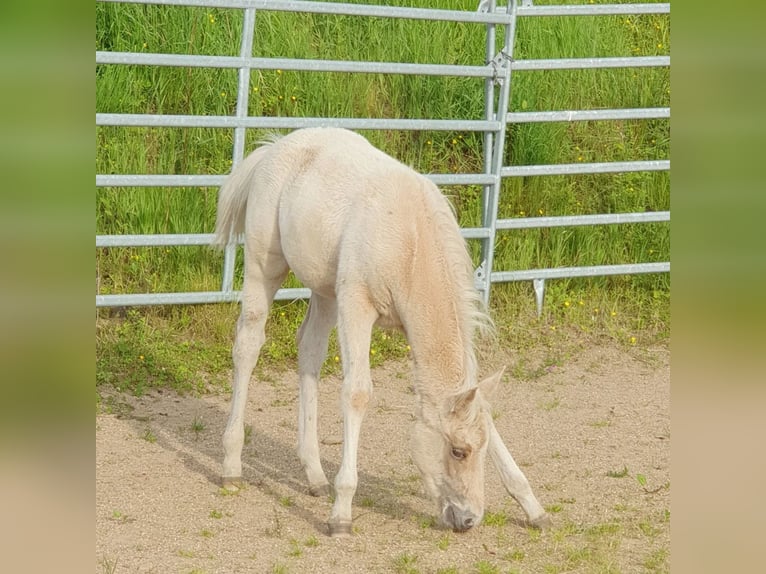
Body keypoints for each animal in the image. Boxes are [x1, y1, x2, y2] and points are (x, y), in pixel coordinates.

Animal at [214, 128, 552, 536]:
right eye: (458, 451)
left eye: (481, 450)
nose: (469, 519)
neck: (410, 241)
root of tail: (274, 149)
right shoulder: (357, 306)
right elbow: (357, 393)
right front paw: (342, 513)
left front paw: (533, 507)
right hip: (266, 266)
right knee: (248, 345)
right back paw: (232, 465)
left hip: (325, 290)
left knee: (309, 351)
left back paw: (314, 475)